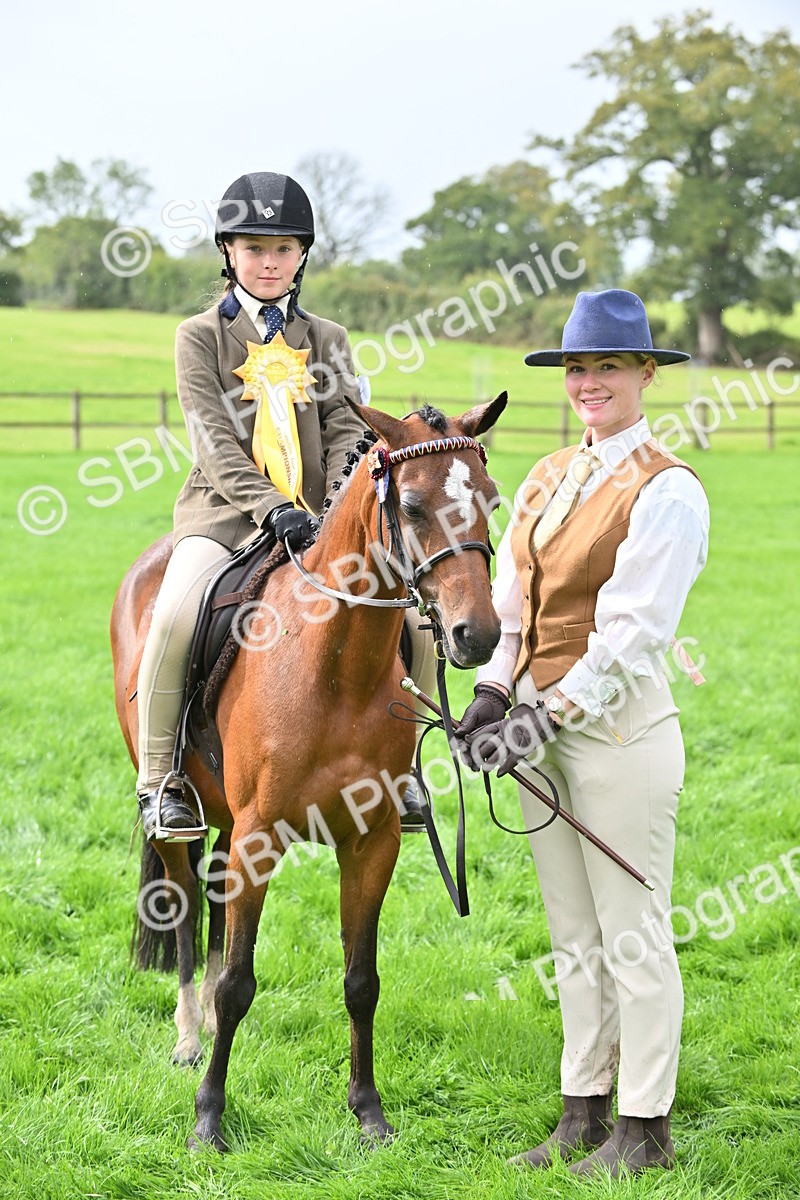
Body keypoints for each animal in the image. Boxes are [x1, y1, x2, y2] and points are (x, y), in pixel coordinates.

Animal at [110, 394, 506, 1151]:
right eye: (413, 505)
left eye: (492, 501)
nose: (478, 635)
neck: (335, 665)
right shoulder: (260, 835)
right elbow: (239, 981)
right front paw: (208, 1119)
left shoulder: (371, 841)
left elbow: (361, 980)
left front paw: (369, 1112)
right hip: (190, 820)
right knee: (184, 906)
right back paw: (189, 1035)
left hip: (228, 820)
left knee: (212, 897)